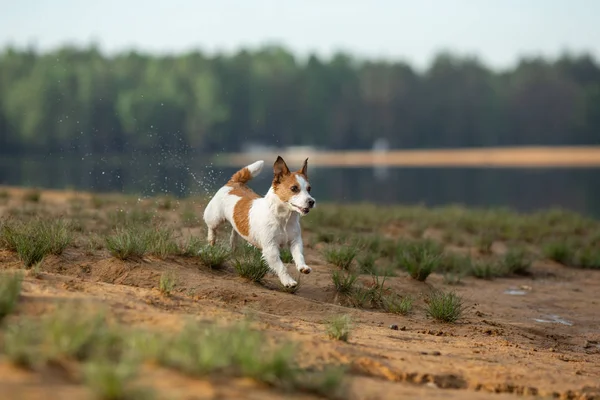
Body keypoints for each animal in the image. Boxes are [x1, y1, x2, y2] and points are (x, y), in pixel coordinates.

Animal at [204, 155, 316, 288]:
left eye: (309, 189)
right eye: (294, 188)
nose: (311, 201)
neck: (284, 219)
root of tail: (234, 183)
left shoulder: (295, 241)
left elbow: (299, 255)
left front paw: (303, 267)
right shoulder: (270, 248)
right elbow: (281, 267)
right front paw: (288, 281)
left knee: (235, 229)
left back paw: (233, 243)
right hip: (215, 217)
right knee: (212, 227)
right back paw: (211, 240)